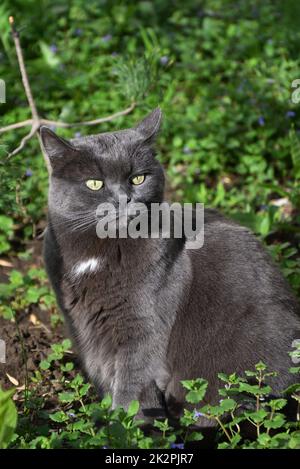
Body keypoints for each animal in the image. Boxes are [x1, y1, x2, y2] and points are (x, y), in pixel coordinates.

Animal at [41, 109, 300, 420]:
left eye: (138, 179)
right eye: (95, 183)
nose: (124, 199)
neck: (98, 252)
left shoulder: (142, 328)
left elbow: (131, 384)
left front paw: (124, 424)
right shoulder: (81, 326)